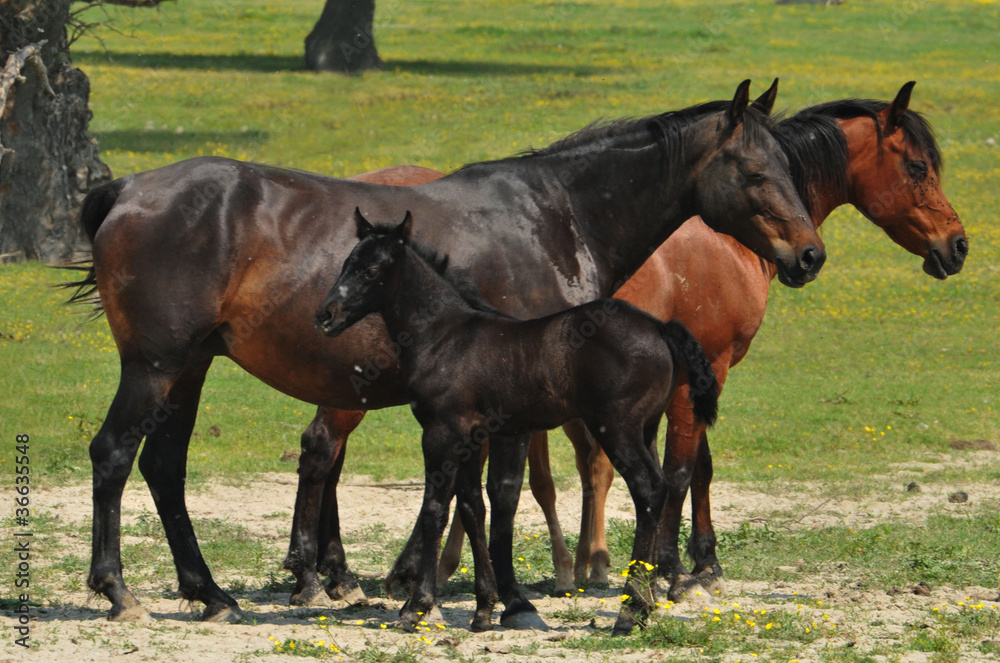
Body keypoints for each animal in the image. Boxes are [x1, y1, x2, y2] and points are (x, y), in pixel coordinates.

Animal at [316, 209, 722, 634]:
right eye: (346, 264)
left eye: (371, 270)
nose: (325, 315)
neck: (444, 337)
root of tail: (660, 327)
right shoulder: (471, 437)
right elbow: (472, 509)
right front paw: (484, 608)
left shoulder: (441, 432)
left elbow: (434, 510)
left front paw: (418, 605)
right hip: (646, 427)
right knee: (656, 490)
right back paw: (643, 605)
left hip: (617, 428)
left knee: (649, 490)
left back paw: (629, 612)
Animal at [429, 81, 968, 598]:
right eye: (918, 167)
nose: (958, 244)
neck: (726, 238)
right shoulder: (708, 368)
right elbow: (681, 470)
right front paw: (672, 569)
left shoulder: (699, 376)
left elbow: (698, 467)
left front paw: (702, 562)